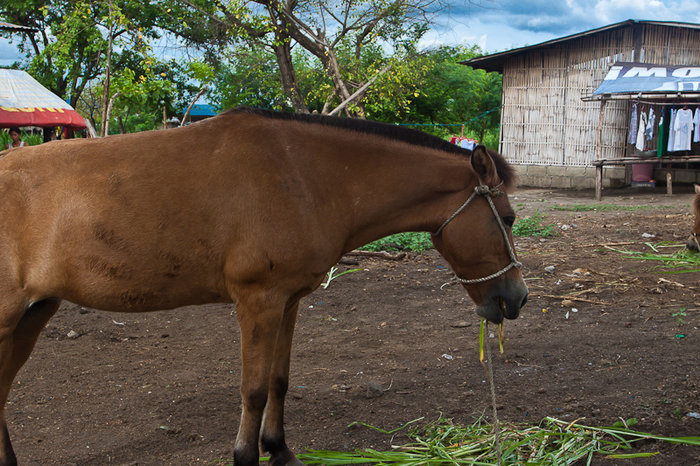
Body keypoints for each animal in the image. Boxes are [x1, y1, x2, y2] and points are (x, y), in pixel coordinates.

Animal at [0, 107, 528, 464]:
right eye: (507, 218)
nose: (517, 298)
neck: (304, 175)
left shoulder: (288, 302)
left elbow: (279, 380)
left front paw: (278, 449)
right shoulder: (258, 302)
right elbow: (252, 389)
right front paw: (247, 455)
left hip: (34, 314)